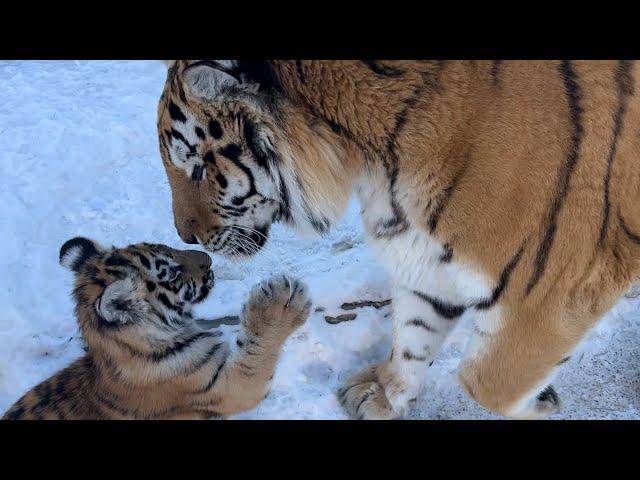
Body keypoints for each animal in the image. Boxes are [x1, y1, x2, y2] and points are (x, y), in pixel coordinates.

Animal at [156, 61, 640, 420]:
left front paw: (541, 402)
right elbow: (413, 335)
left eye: (197, 167)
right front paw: (384, 393)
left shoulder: (552, 290)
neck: (374, 161)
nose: (184, 235)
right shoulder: (426, 257)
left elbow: (488, 385)